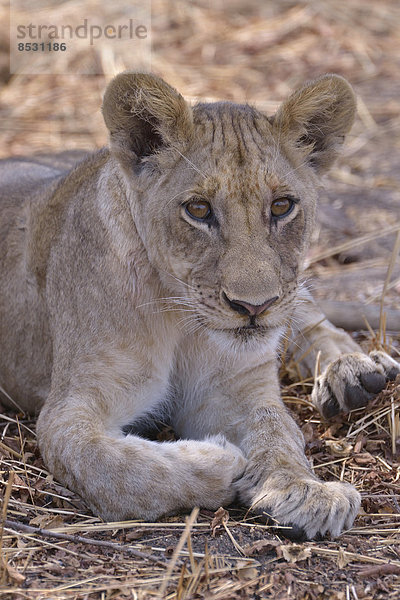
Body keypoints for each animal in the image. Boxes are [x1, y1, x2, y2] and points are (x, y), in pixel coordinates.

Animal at [0, 74, 400, 540]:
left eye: (282, 206)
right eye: (198, 209)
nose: (253, 306)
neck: (182, 319)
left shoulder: (234, 385)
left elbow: (277, 430)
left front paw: (304, 491)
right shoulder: (69, 410)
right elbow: (115, 468)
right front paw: (221, 460)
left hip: (292, 291)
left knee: (308, 316)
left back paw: (356, 372)